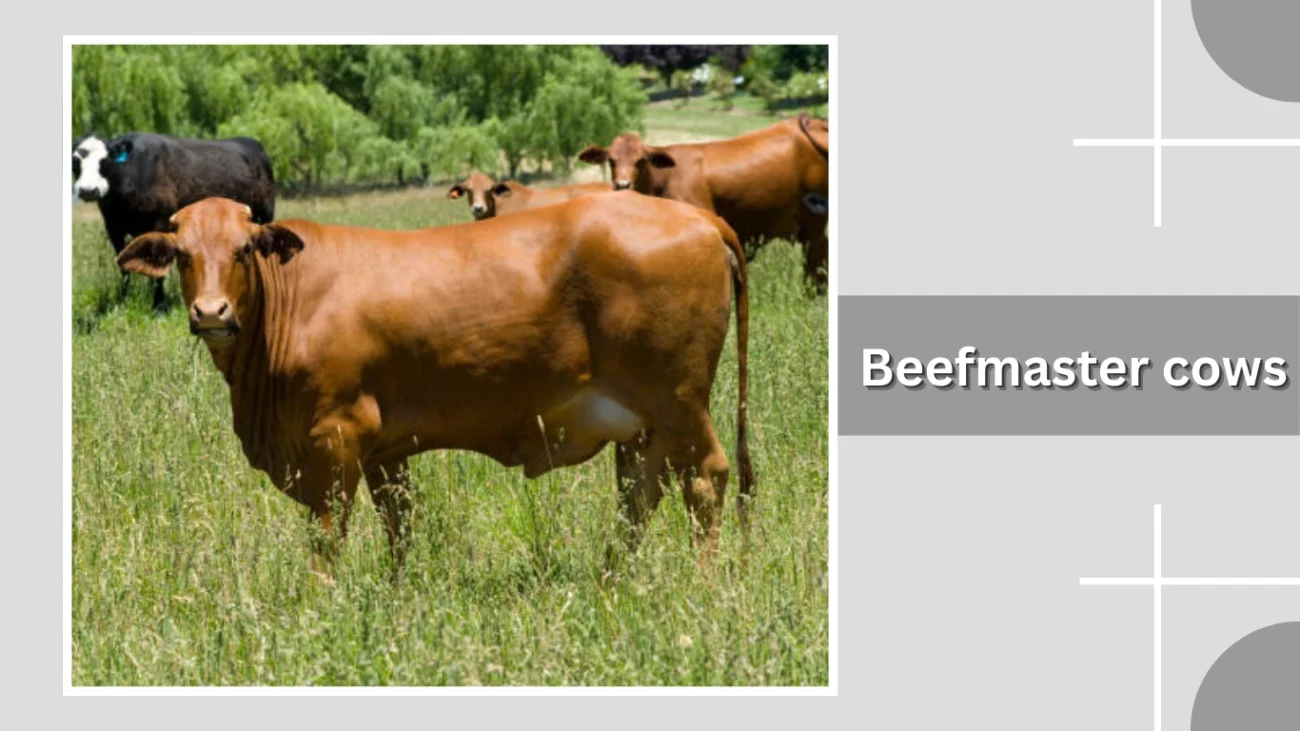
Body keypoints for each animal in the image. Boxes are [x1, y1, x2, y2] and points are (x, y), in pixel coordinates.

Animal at [73, 132, 276, 311]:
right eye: (75, 161)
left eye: (105, 160)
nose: (88, 190)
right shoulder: (113, 227)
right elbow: (125, 267)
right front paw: (123, 301)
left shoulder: (160, 221)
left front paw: (159, 306)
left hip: (265, 215)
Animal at [116, 195, 754, 577]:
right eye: (181, 254)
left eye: (244, 249)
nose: (211, 312)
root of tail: (695, 217)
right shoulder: (384, 450)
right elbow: (399, 524)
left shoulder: (336, 436)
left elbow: (328, 534)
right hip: (643, 424)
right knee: (640, 494)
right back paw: (610, 577)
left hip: (680, 403)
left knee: (705, 480)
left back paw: (699, 583)